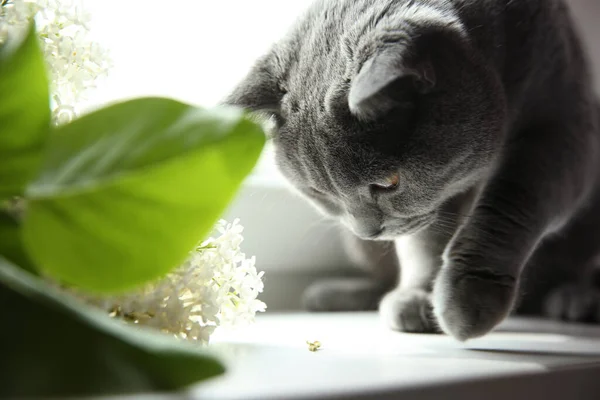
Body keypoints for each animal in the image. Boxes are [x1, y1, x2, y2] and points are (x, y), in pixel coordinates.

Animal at [225, 0, 600, 340]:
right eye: (318, 191)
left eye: (389, 183)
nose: (368, 231)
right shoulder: (432, 203)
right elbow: (424, 242)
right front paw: (421, 296)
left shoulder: (562, 127)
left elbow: (508, 205)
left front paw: (470, 298)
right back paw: (335, 294)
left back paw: (577, 300)